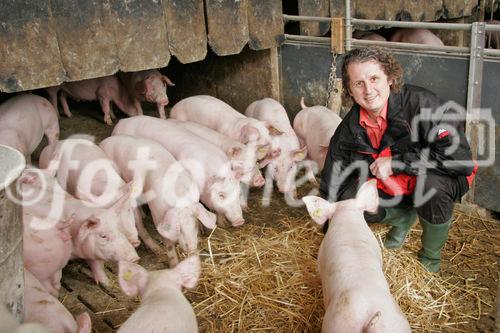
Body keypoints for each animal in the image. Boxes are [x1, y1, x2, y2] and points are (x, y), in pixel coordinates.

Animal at [98, 134, 216, 266]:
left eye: (194, 223)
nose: (191, 248)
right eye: (179, 229)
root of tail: (105, 140)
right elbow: (168, 245)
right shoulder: (157, 214)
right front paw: (174, 264)